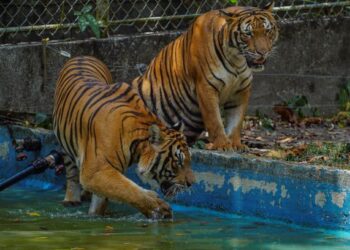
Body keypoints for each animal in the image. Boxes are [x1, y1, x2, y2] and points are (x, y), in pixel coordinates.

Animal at [52, 56, 194, 219]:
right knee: (72, 176)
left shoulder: (104, 173)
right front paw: (158, 207)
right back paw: (71, 199)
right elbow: (128, 190)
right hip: (65, 147)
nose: (191, 183)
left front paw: (96, 216)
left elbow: (103, 199)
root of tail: (82, 56)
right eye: (178, 162)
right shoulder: (96, 171)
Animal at [132, 2, 278, 150]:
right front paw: (222, 145)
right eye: (248, 34)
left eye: (267, 31)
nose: (263, 52)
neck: (237, 60)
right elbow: (214, 120)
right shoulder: (206, 86)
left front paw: (236, 144)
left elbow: (236, 120)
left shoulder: (241, 90)